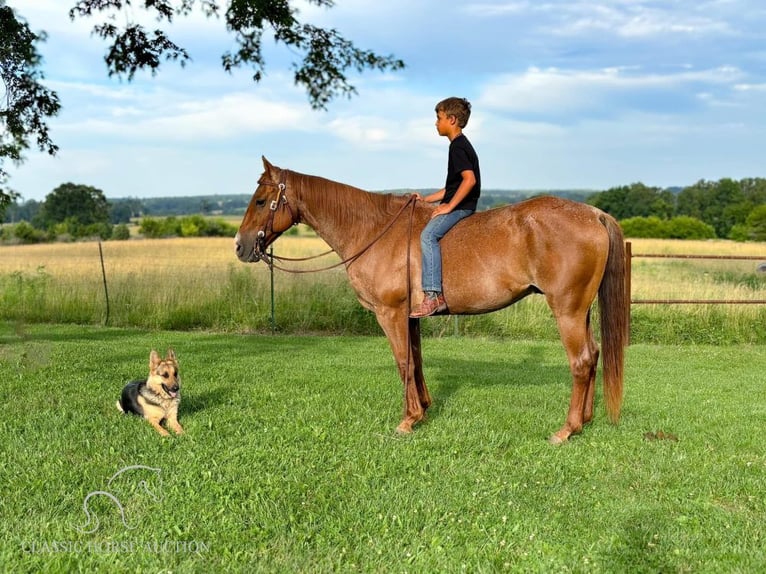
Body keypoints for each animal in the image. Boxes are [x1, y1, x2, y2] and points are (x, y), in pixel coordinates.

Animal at [237, 158, 628, 446]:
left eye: (261, 201)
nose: (241, 246)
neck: (373, 230)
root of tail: (593, 213)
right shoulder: (410, 316)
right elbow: (416, 361)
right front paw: (423, 408)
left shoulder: (390, 313)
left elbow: (403, 363)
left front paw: (408, 420)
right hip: (581, 311)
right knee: (593, 355)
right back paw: (585, 420)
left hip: (567, 310)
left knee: (580, 361)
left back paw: (567, 428)